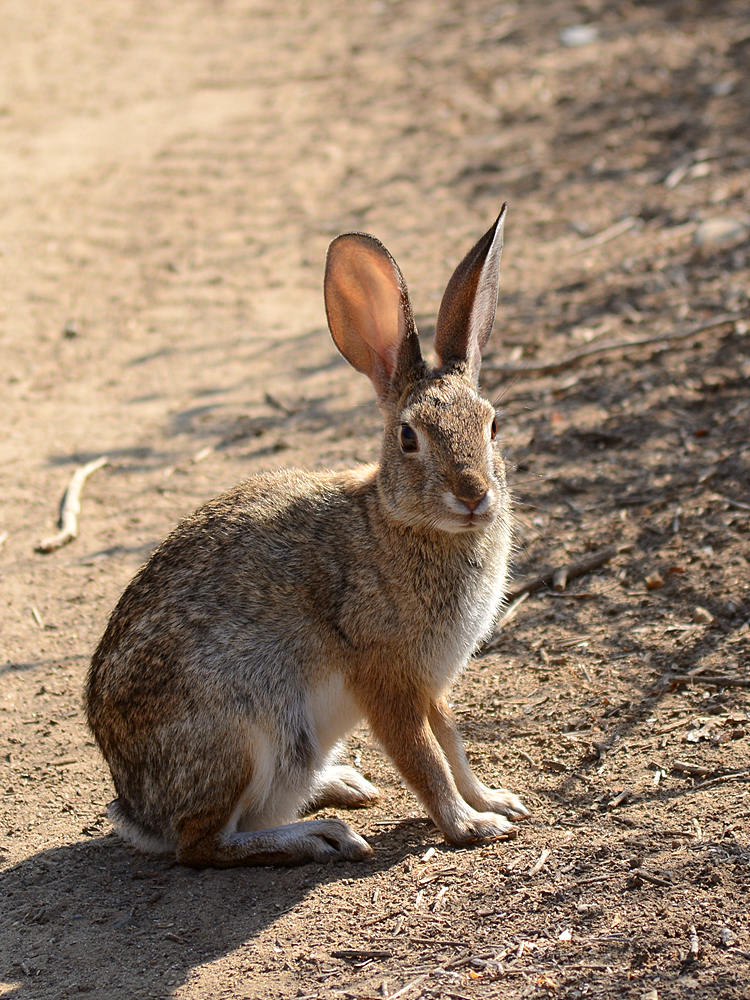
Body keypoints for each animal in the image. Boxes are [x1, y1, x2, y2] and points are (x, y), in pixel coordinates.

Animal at [85, 204, 529, 868]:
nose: (475, 495)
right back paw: (320, 836)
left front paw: (495, 800)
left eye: (493, 424)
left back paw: (340, 785)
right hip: (244, 734)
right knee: (203, 844)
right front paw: (470, 826)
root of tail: (136, 810)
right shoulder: (385, 674)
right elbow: (423, 757)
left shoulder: (427, 681)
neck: (397, 521)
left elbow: (451, 739)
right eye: (408, 438)